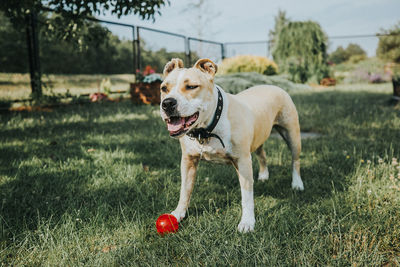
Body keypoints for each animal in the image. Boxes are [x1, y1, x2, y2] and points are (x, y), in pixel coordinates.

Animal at [159, 58, 304, 232]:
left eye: (192, 86)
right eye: (164, 88)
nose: (167, 103)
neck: (207, 128)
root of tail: (273, 85)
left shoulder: (243, 161)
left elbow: (247, 196)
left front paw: (247, 222)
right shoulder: (188, 161)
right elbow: (185, 190)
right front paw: (178, 214)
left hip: (292, 135)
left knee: (295, 161)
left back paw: (297, 184)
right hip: (258, 136)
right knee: (262, 154)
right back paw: (264, 175)